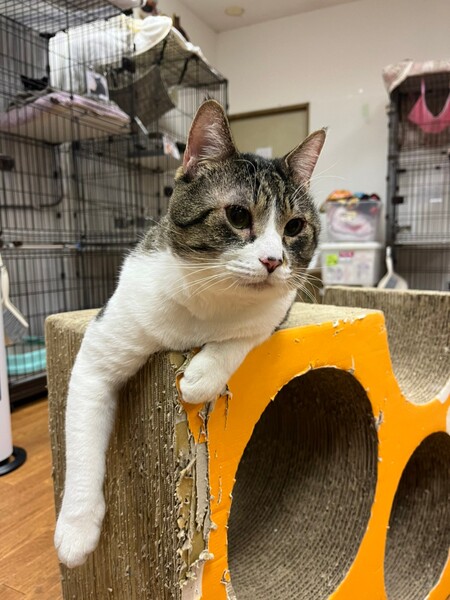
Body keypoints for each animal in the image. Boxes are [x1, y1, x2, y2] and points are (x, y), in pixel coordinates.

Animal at [54, 100, 326, 568]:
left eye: (294, 227)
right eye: (238, 215)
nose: (273, 261)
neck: (209, 300)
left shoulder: (278, 309)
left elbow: (245, 334)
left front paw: (201, 374)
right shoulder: (102, 347)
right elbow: (84, 443)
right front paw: (75, 530)